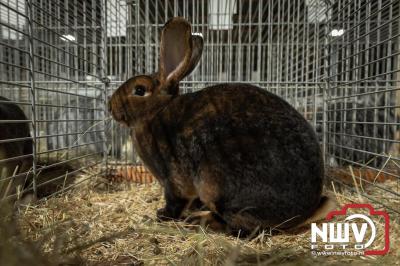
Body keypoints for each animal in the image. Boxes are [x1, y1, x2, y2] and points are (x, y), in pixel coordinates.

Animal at [109, 17, 334, 234]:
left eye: (139, 90)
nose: (110, 106)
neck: (155, 112)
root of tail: (302, 214)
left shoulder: (172, 178)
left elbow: (176, 201)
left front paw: (161, 215)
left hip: (218, 186)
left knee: (242, 228)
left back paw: (201, 221)